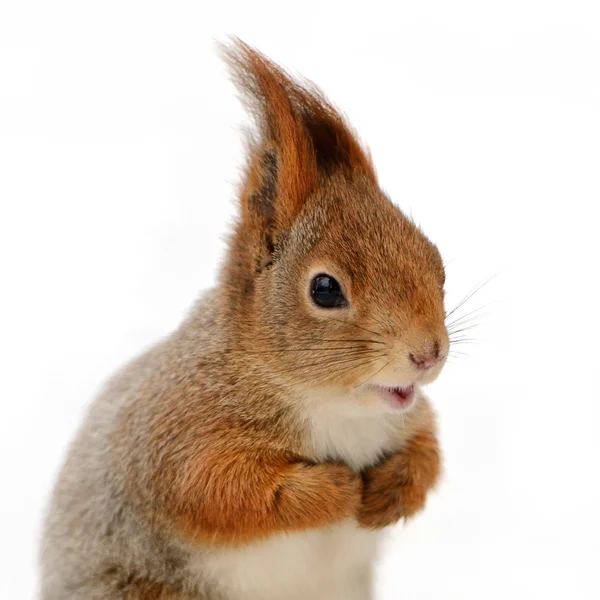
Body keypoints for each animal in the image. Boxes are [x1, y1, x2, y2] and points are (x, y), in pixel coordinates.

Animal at [39, 38, 448, 600]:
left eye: (436, 259)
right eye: (325, 290)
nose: (429, 353)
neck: (332, 406)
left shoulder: (406, 417)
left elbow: (428, 449)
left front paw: (394, 489)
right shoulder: (179, 435)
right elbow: (220, 492)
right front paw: (335, 489)